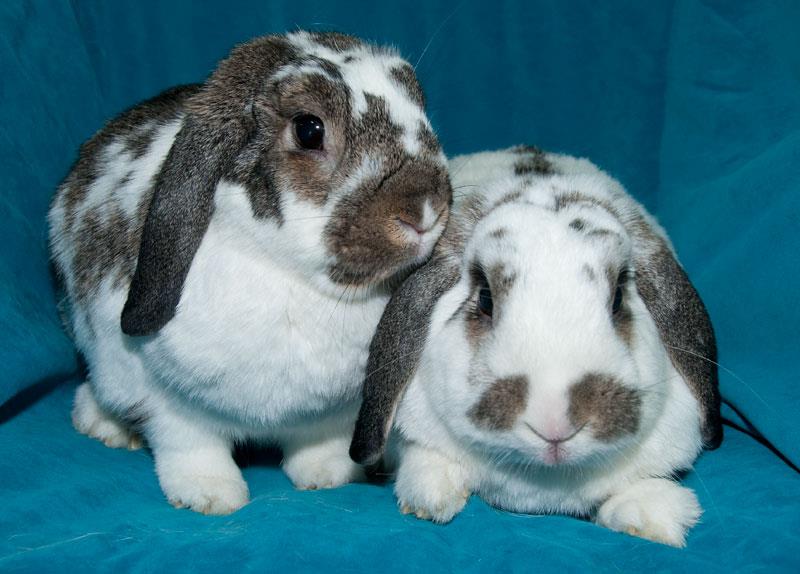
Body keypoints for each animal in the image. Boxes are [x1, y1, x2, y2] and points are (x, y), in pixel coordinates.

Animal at [48, 31, 452, 515]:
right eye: (309, 129)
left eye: (420, 105)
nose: (426, 210)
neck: (298, 283)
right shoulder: (168, 402)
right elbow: (190, 445)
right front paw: (210, 494)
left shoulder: (333, 412)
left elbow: (320, 443)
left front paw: (327, 475)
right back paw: (100, 422)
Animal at [350, 146, 722, 547]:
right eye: (485, 298)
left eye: (619, 298)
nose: (555, 421)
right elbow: (425, 458)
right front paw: (431, 498)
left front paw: (652, 517)